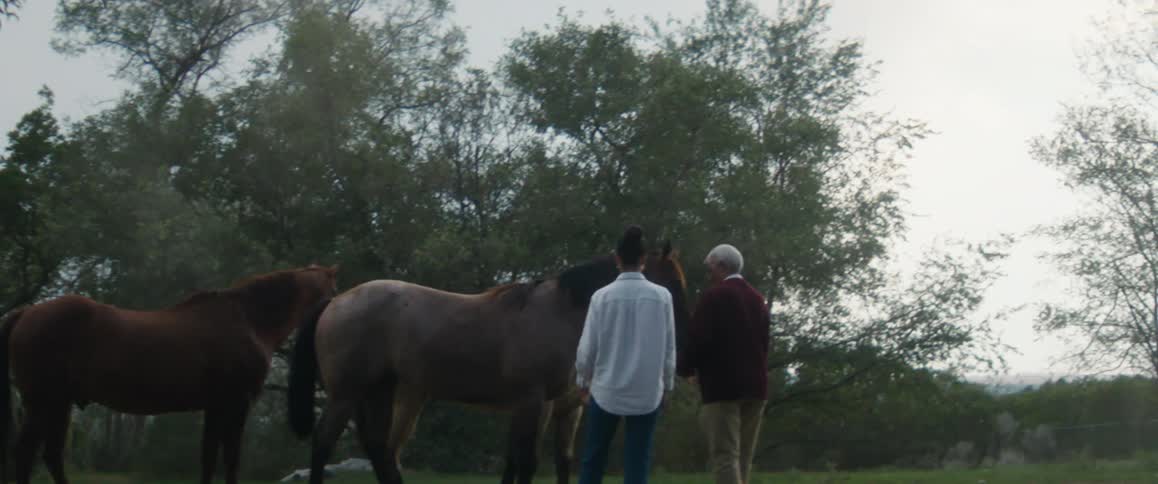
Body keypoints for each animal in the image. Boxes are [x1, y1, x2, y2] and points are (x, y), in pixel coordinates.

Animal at [0, 264, 339, 484]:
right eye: (334, 288)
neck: (249, 320)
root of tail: (27, 312)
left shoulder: (216, 406)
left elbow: (209, 457)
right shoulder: (237, 403)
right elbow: (230, 459)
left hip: (59, 404)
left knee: (50, 455)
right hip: (43, 403)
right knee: (25, 454)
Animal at [287, 244, 689, 484]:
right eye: (671, 283)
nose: (685, 359)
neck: (557, 312)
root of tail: (336, 301)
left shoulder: (546, 405)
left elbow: (533, 460)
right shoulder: (534, 402)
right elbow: (526, 461)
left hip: (379, 392)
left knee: (378, 448)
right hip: (348, 394)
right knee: (325, 443)